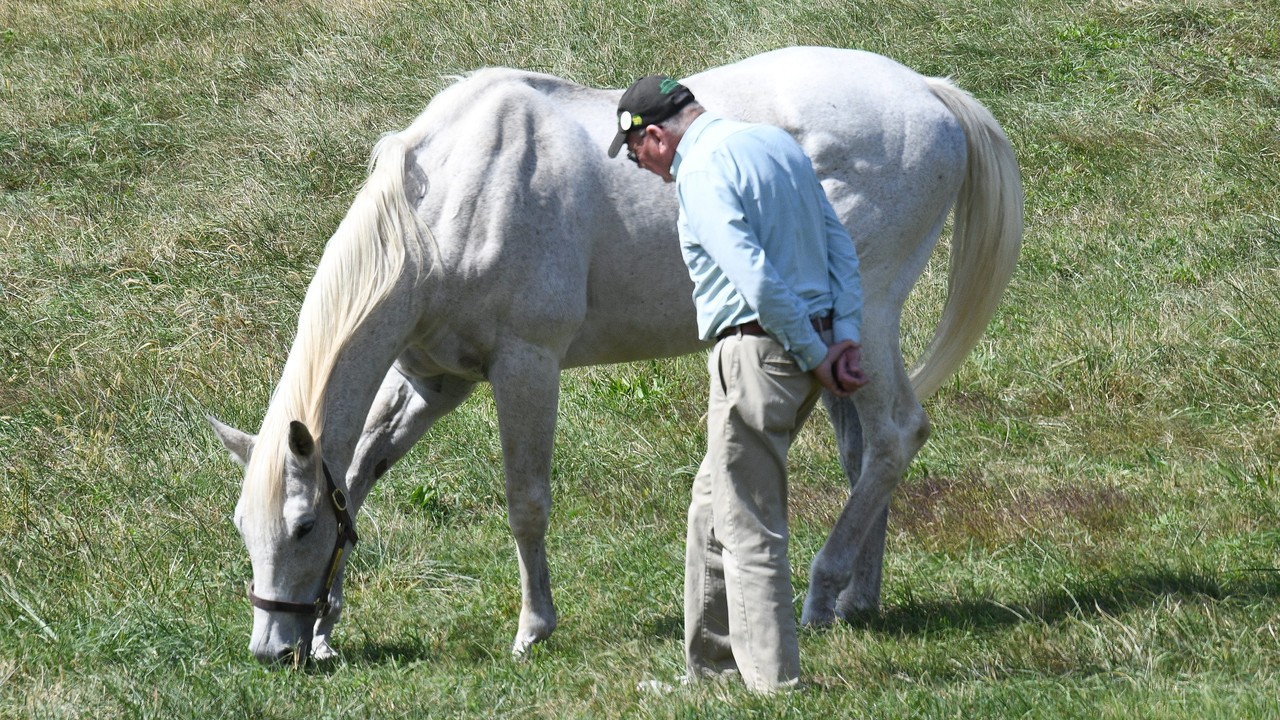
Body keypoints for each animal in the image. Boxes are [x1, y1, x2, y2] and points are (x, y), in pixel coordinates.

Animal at [212, 44, 1029, 661]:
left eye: (302, 527)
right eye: (245, 527)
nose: (272, 649)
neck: (442, 206)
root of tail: (928, 93)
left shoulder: (527, 367)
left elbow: (526, 502)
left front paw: (533, 629)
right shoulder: (432, 383)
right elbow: (356, 478)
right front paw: (327, 629)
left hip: (862, 321)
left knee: (896, 434)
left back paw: (825, 590)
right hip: (832, 344)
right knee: (865, 455)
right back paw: (860, 597)